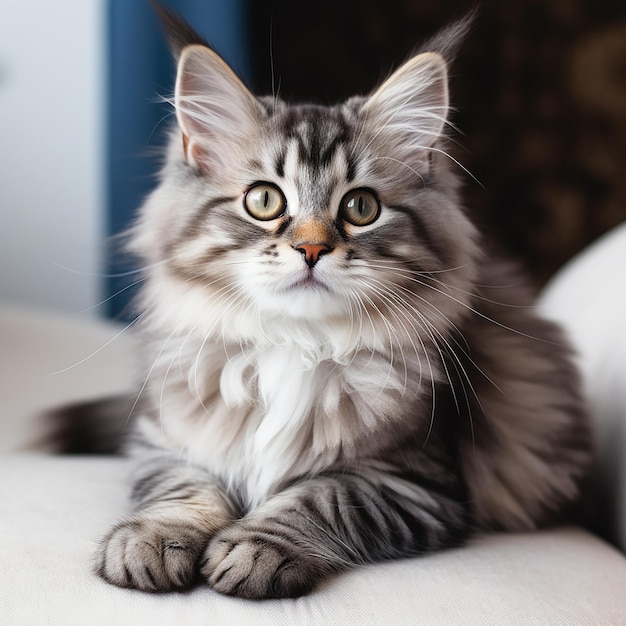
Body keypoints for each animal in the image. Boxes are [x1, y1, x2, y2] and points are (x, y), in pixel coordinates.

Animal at [56, 7, 588, 596]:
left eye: (361, 207)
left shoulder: (417, 482)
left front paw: (253, 550)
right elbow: (182, 492)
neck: (295, 342)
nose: (311, 249)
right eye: (264, 200)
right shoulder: (162, 443)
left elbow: (320, 499)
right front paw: (150, 539)